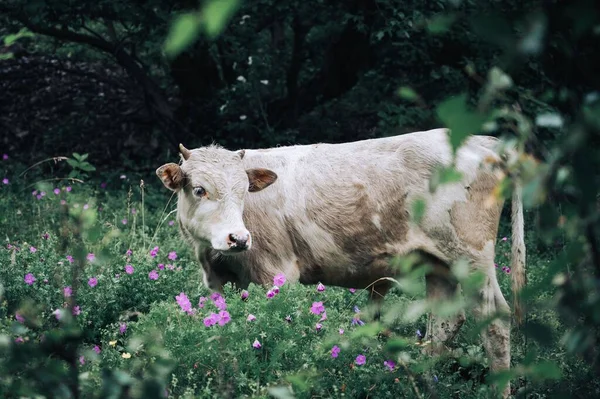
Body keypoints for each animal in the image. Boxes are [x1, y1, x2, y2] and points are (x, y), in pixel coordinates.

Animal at [156, 128, 524, 396]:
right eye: (199, 189)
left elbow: (276, 330)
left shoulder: (278, 272)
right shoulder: (219, 282)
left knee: (494, 320)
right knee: (444, 324)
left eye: (245, 190)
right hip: (439, 262)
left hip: (472, 256)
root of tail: (485, 141)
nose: (239, 238)